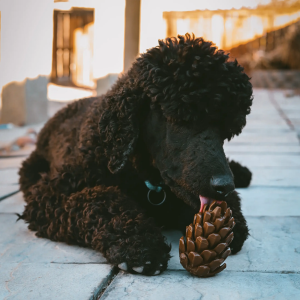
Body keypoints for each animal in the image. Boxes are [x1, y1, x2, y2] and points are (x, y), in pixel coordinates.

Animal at [18, 34, 253, 276]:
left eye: (225, 131)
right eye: (182, 119)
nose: (224, 186)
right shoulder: (48, 195)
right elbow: (101, 201)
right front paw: (141, 245)